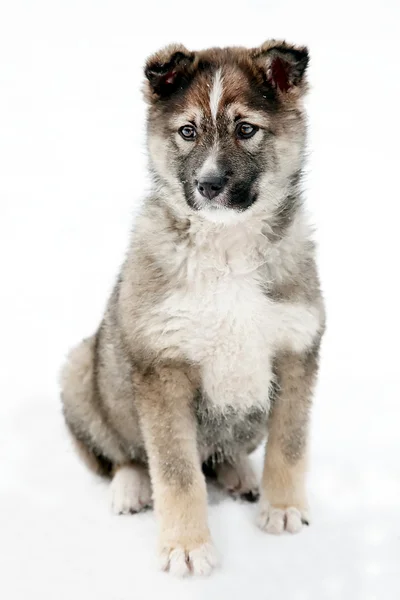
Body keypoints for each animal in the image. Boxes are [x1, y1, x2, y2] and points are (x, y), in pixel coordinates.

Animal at [61, 41, 324, 576]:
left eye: (245, 129)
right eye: (187, 131)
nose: (208, 185)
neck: (227, 248)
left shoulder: (296, 352)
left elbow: (289, 446)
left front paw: (284, 509)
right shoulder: (164, 369)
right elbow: (176, 472)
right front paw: (186, 546)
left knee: (223, 453)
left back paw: (240, 473)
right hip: (82, 370)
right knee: (125, 454)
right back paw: (130, 487)